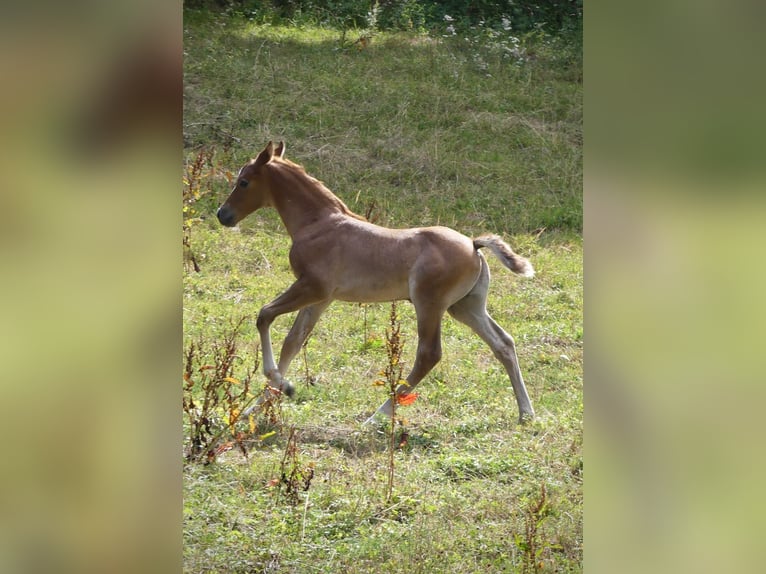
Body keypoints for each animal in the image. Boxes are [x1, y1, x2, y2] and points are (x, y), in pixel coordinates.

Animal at [217, 141, 536, 424]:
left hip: (429, 304)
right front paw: (256, 407)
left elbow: (264, 316)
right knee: (503, 343)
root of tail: (473, 244)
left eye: (243, 182)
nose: (222, 215)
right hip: (465, 307)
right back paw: (526, 413)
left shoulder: (312, 287)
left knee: (429, 355)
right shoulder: (321, 298)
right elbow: (293, 342)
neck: (319, 224)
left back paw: (376, 417)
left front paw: (283, 387)